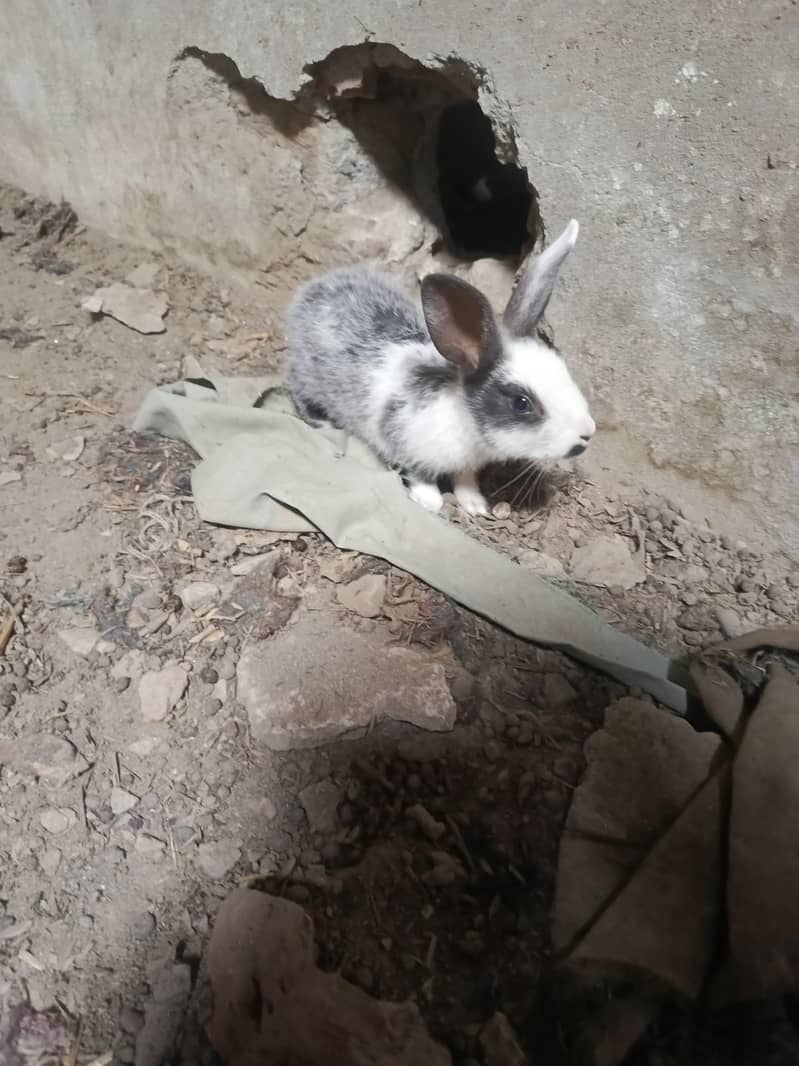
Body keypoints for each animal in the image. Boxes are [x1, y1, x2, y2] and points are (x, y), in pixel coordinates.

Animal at [286, 218, 595, 516]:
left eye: (563, 369)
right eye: (521, 403)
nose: (587, 433)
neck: (463, 417)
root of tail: (318, 287)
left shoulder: (466, 465)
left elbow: (465, 480)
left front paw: (475, 505)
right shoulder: (406, 441)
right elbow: (419, 474)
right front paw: (430, 501)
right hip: (307, 376)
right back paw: (321, 420)